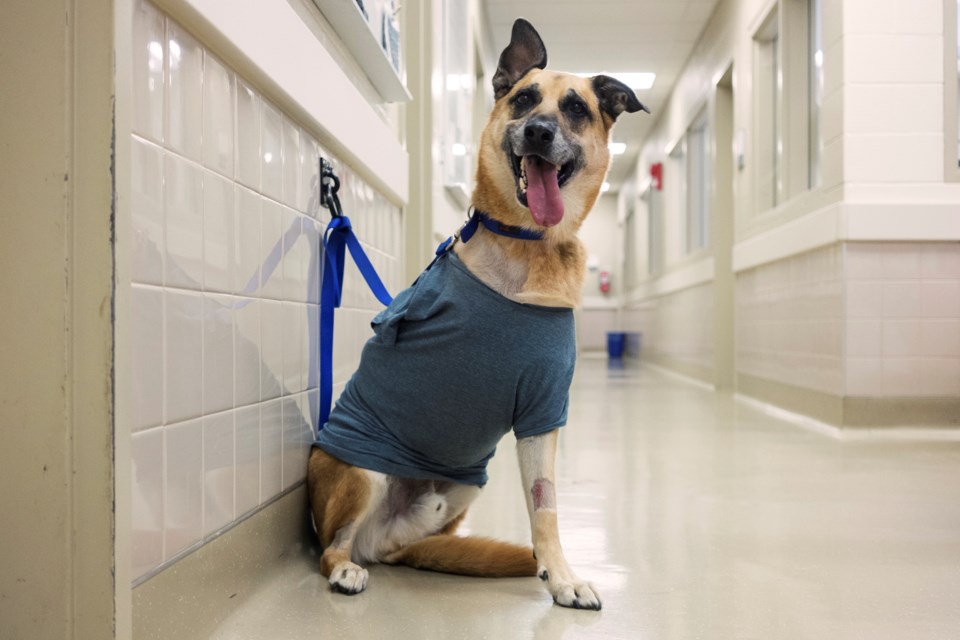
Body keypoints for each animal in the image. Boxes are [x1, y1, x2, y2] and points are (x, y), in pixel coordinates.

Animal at [312, 18, 648, 608]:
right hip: (361, 471)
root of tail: (379, 543)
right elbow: (544, 505)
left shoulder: (544, 409)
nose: (537, 132)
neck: (531, 243)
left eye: (576, 108)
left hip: (467, 483)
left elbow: (545, 505)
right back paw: (345, 570)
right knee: (331, 546)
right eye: (524, 99)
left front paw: (559, 574)